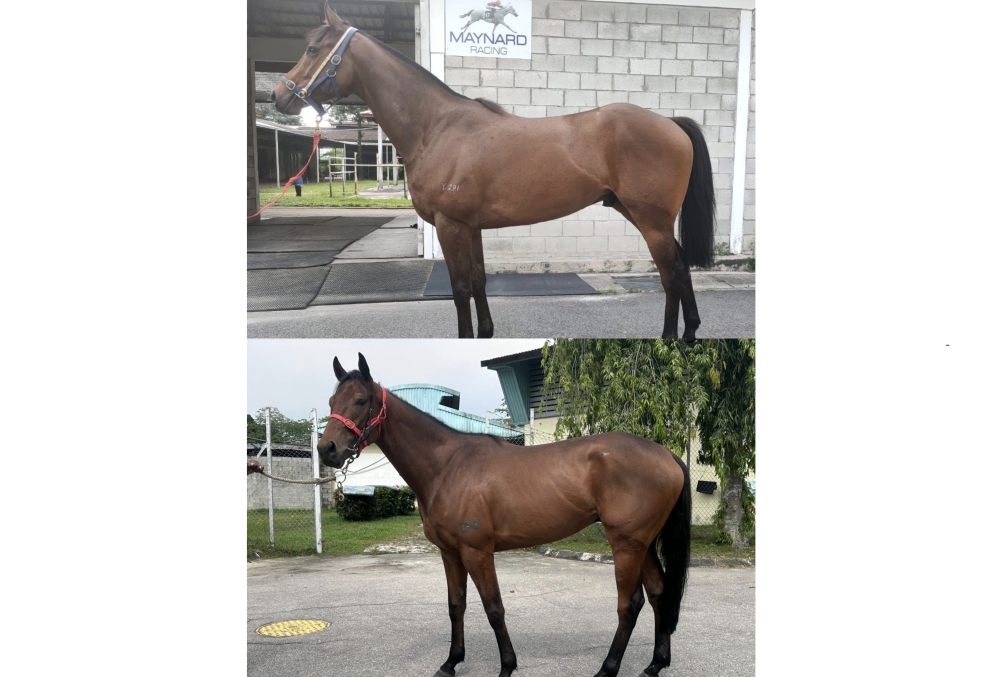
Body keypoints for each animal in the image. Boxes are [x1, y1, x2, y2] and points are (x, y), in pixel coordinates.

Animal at [273, 4, 716, 339]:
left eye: (312, 49)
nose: (279, 95)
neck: (437, 127)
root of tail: (671, 123)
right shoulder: (471, 228)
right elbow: (479, 283)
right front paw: (485, 334)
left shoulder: (450, 225)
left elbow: (459, 290)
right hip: (637, 212)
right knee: (679, 266)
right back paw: (691, 332)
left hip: (650, 219)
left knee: (672, 272)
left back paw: (670, 338)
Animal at [318, 354, 692, 677]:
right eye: (331, 402)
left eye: (361, 400)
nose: (327, 450)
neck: (448, 466)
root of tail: (666, 455)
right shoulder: (450, 553)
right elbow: (456, 606)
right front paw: (451, 662)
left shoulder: (477, 552)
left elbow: (493, 608)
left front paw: (507, 666)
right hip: (642, 543)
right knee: (659, 593)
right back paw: (655, 664)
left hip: (627, 544)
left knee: (630, 603)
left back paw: (607, 669)